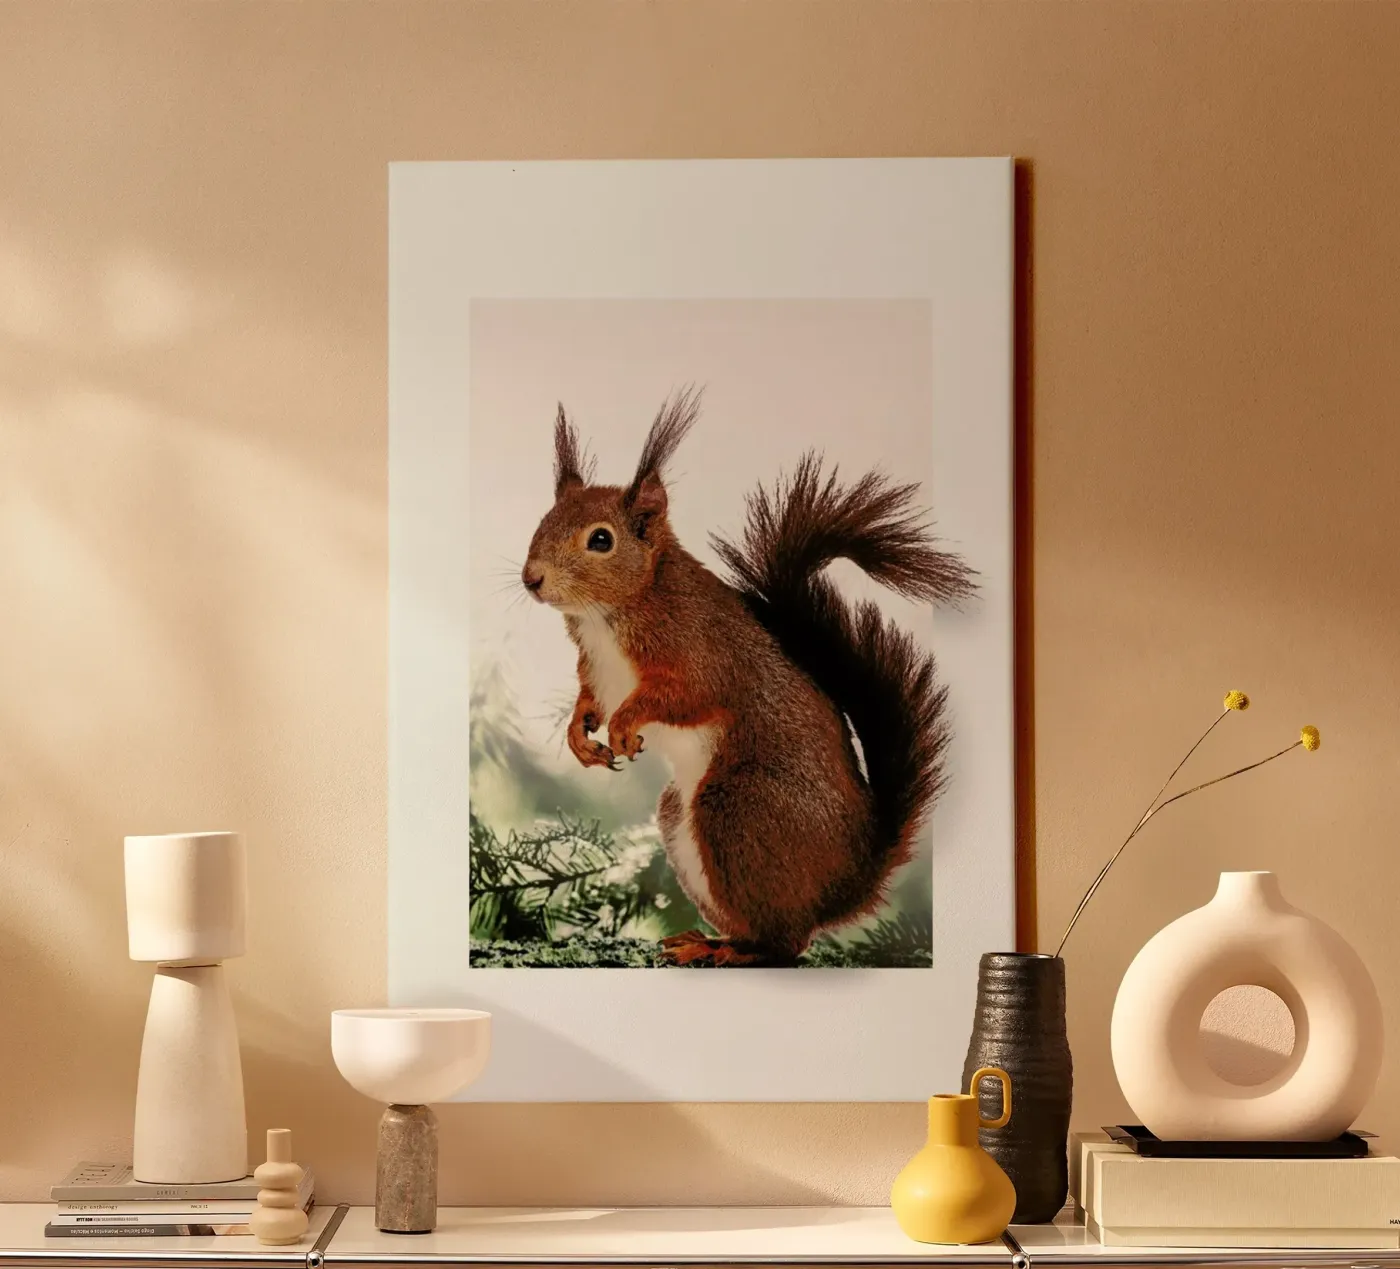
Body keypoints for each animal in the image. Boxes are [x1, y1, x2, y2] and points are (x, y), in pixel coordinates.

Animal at [521, 389, 975, 966]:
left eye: (600, 540)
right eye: (544, 519)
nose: (531, 579)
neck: (610, 615)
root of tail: (850, 881)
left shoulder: (701, 653)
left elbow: (684, 695)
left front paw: (625, 724)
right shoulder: (595, 669)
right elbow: (589, 699)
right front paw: (580, 737)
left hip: (738, 808)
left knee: (787, 944)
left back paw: (735, 953)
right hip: (684, 818)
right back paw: (709, 940)